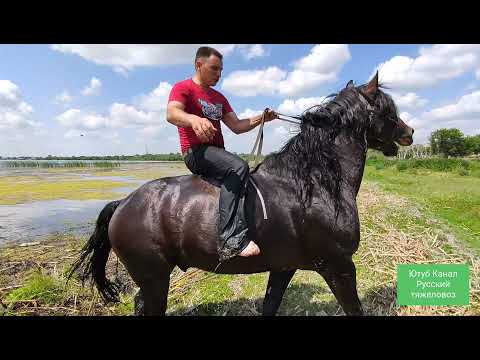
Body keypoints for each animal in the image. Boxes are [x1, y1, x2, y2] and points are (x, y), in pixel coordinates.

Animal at [69, 73, 414, 316]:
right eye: (387, 109)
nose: (409, 132)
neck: (314, 185)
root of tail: (123, 203)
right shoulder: (338, 266)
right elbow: (354, 308)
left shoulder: (283, 267)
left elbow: (270, 305)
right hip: (154, 279)